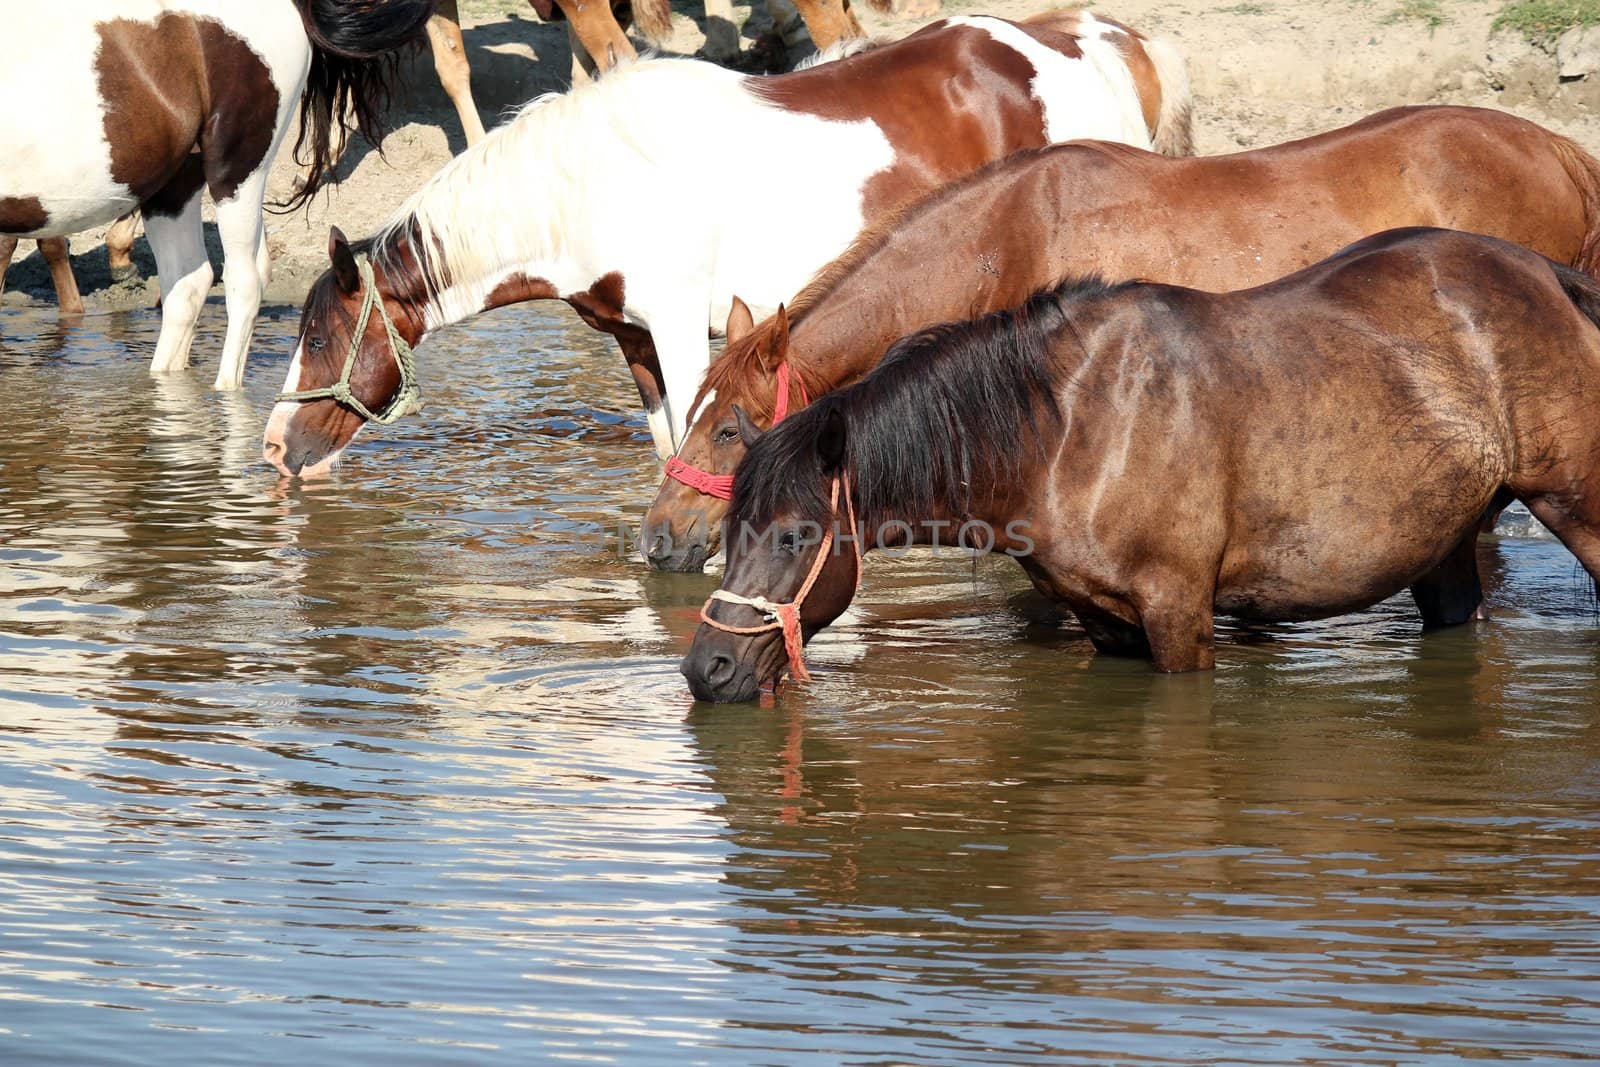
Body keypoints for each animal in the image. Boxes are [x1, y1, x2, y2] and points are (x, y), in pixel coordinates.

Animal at [262, 11, 1190, 476]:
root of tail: (1110, 44)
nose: (272, 445)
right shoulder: (633, 339)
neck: (592, 180)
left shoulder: (681, 329)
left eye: (321, 337)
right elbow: (670, 445)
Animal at [681, 230, 1600, 703]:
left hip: (1578, 509)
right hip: (1444, 543)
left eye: (797, 536)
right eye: (733, 532)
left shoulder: (1179, 615)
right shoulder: (1107, 622)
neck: (1063, 431)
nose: (705, 668)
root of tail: (1548, 276)